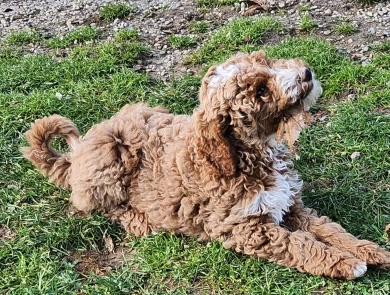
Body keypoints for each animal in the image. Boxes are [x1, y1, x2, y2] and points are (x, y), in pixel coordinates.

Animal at [22, 50, 388, 280]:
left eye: (265, 61)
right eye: (259, 91)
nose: (306, 73)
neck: (250, 152)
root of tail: (75, 156)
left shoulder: (291, 205)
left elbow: (330, 229)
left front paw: (369, 250)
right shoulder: (245, 228)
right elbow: (299, 244)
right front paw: (345, 263)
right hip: (109, 157)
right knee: (96, 203)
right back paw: (139, 218)